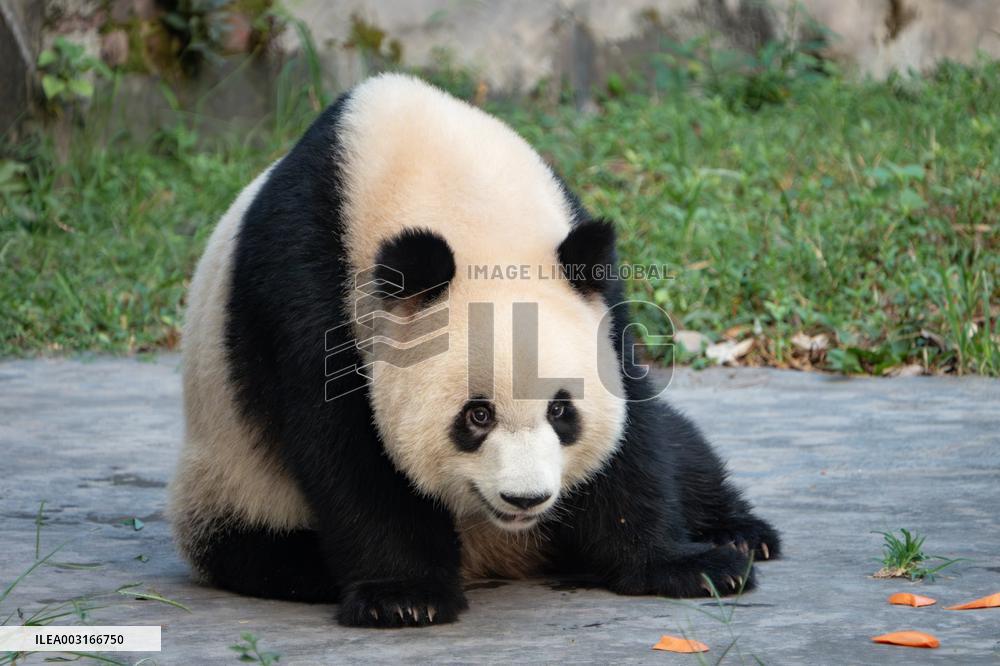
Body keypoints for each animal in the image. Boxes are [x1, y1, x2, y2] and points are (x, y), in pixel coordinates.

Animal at [169, 73, 780, 628]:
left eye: (562, 411)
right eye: (477, 416)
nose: (526, 498)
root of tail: (504, 554)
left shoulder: (594, 283)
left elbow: (634, 431)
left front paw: (690, 566)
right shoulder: (302, 281)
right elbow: (344, 444)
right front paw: (405, 597)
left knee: (685, 447)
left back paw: (743, 536)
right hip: (230, 482)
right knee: (260, 549)